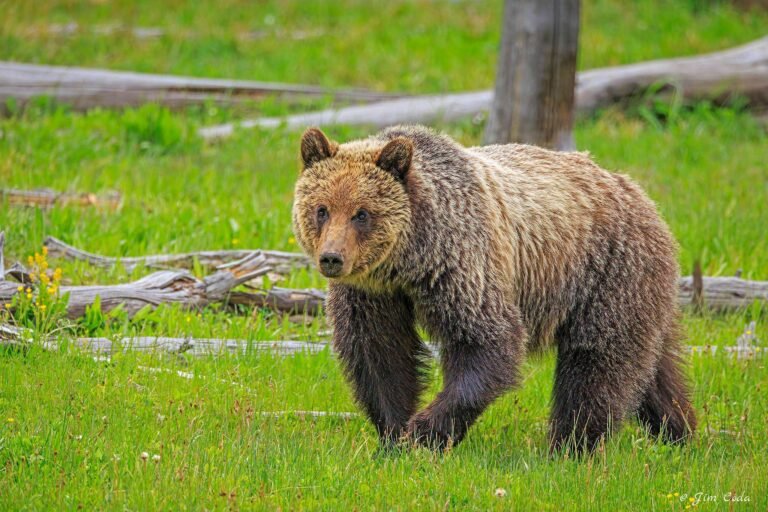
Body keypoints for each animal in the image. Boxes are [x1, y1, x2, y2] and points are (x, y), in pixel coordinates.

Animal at [292, 124, 696, 453]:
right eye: (322, 209)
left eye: (362, 213)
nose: (332, 258)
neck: (409, 261)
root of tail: (640, 195)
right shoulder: (372, 293)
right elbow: (379, 353)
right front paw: (394, 435)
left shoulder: (463, 263)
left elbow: (486, 341)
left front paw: (424, 432)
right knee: (655, 366)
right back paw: (679, 431)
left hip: (605, 271)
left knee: (598, 361)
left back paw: (571, 445)